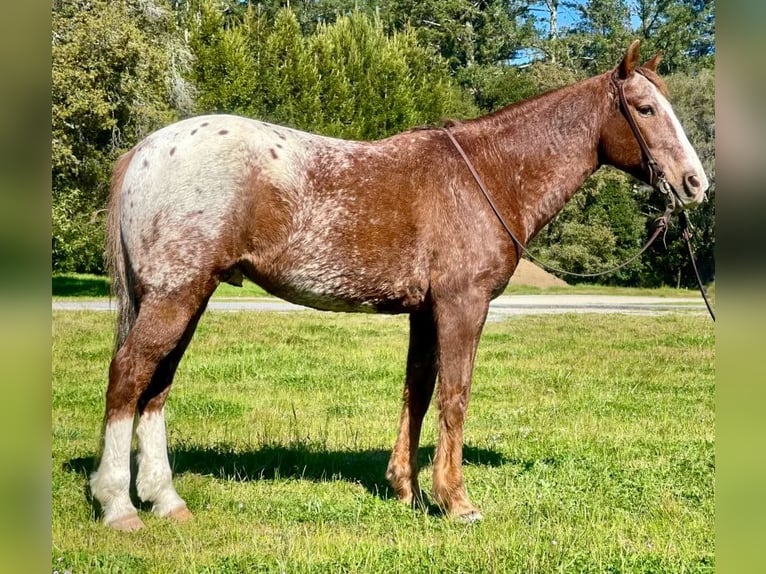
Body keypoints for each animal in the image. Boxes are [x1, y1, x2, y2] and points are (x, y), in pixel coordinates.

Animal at [88, 40, 708, 532]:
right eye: (646, 109)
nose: (695, 183)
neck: (486, 174)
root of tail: (145, 151)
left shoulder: (425, 312)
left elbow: (418, 391)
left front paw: (405, 490)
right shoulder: (462, 306)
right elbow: (454, 395)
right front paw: (456, 502)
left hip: (186, 297)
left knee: (156, 386)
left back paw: (167, 501)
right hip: (177, 295)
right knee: (129, 376)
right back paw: (119, 506)